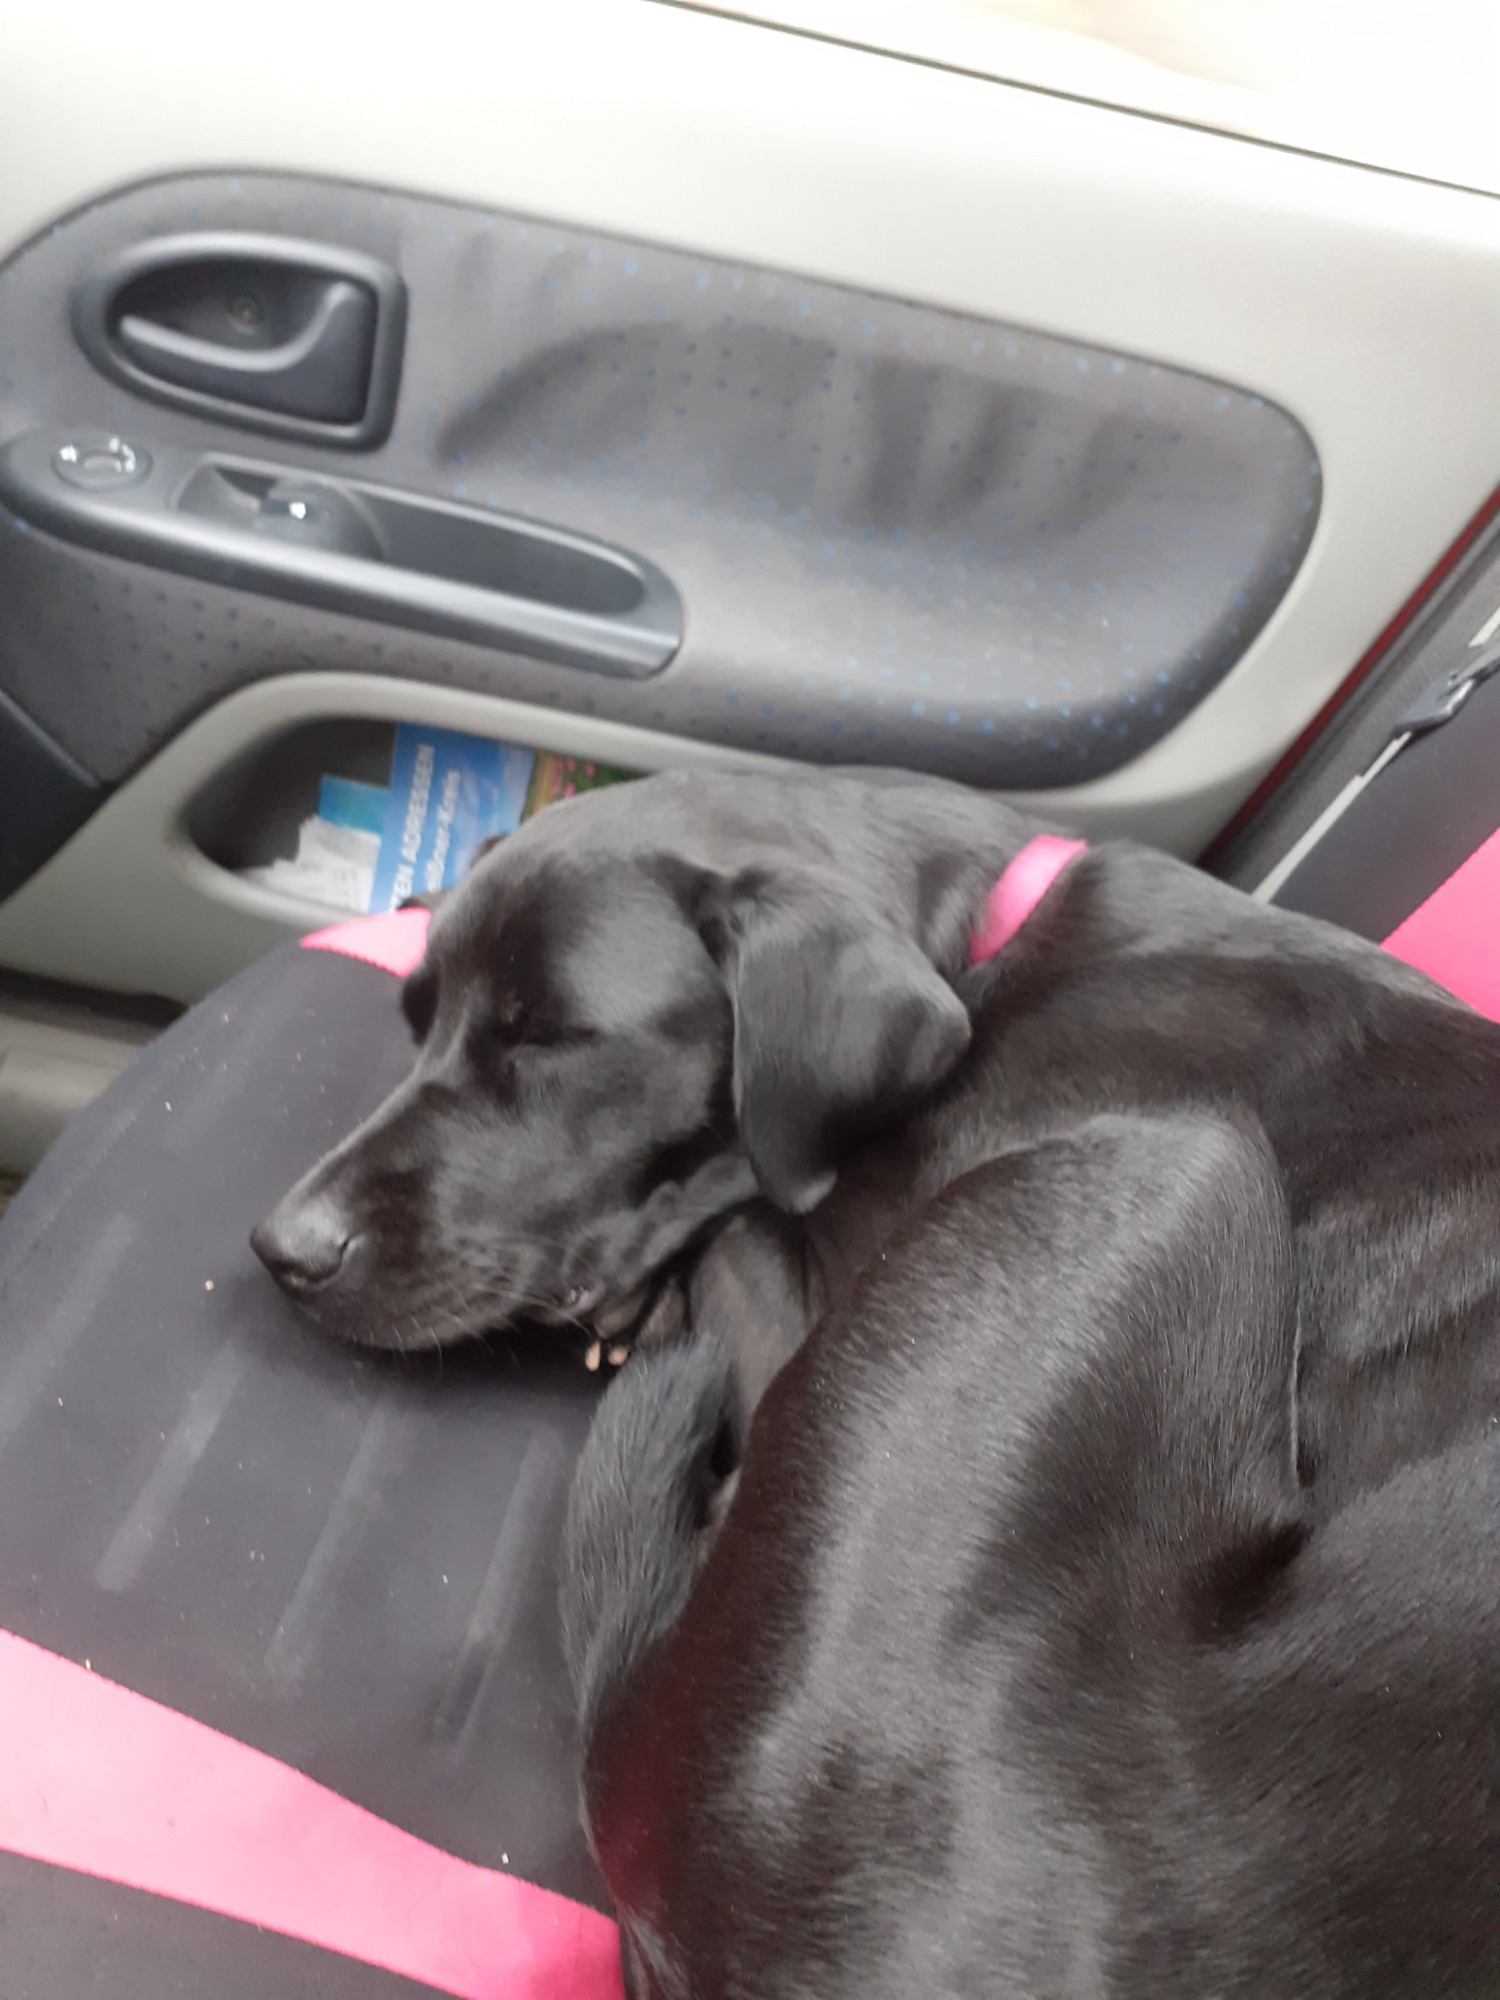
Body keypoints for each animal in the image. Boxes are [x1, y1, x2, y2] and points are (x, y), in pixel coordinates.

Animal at [253, 768, 1499, 1993]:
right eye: (416, 1022)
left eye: (553, 1040)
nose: (282, 1247)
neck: (986, 950)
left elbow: (743, 1211)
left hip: (1177, 1153)